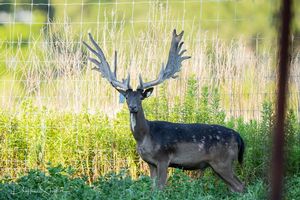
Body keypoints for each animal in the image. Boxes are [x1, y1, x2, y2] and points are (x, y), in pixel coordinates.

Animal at [83, 29, 245, 192]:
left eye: (141, 97)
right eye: (127, 97)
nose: (133, 107)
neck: (145, 136)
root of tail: (239, 137)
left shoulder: (163, 158)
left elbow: (160, 188)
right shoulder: (150, 162)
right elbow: (153, 188)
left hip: (222, 161)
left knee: (241, 186)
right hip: (219, 164)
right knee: (234, 187)